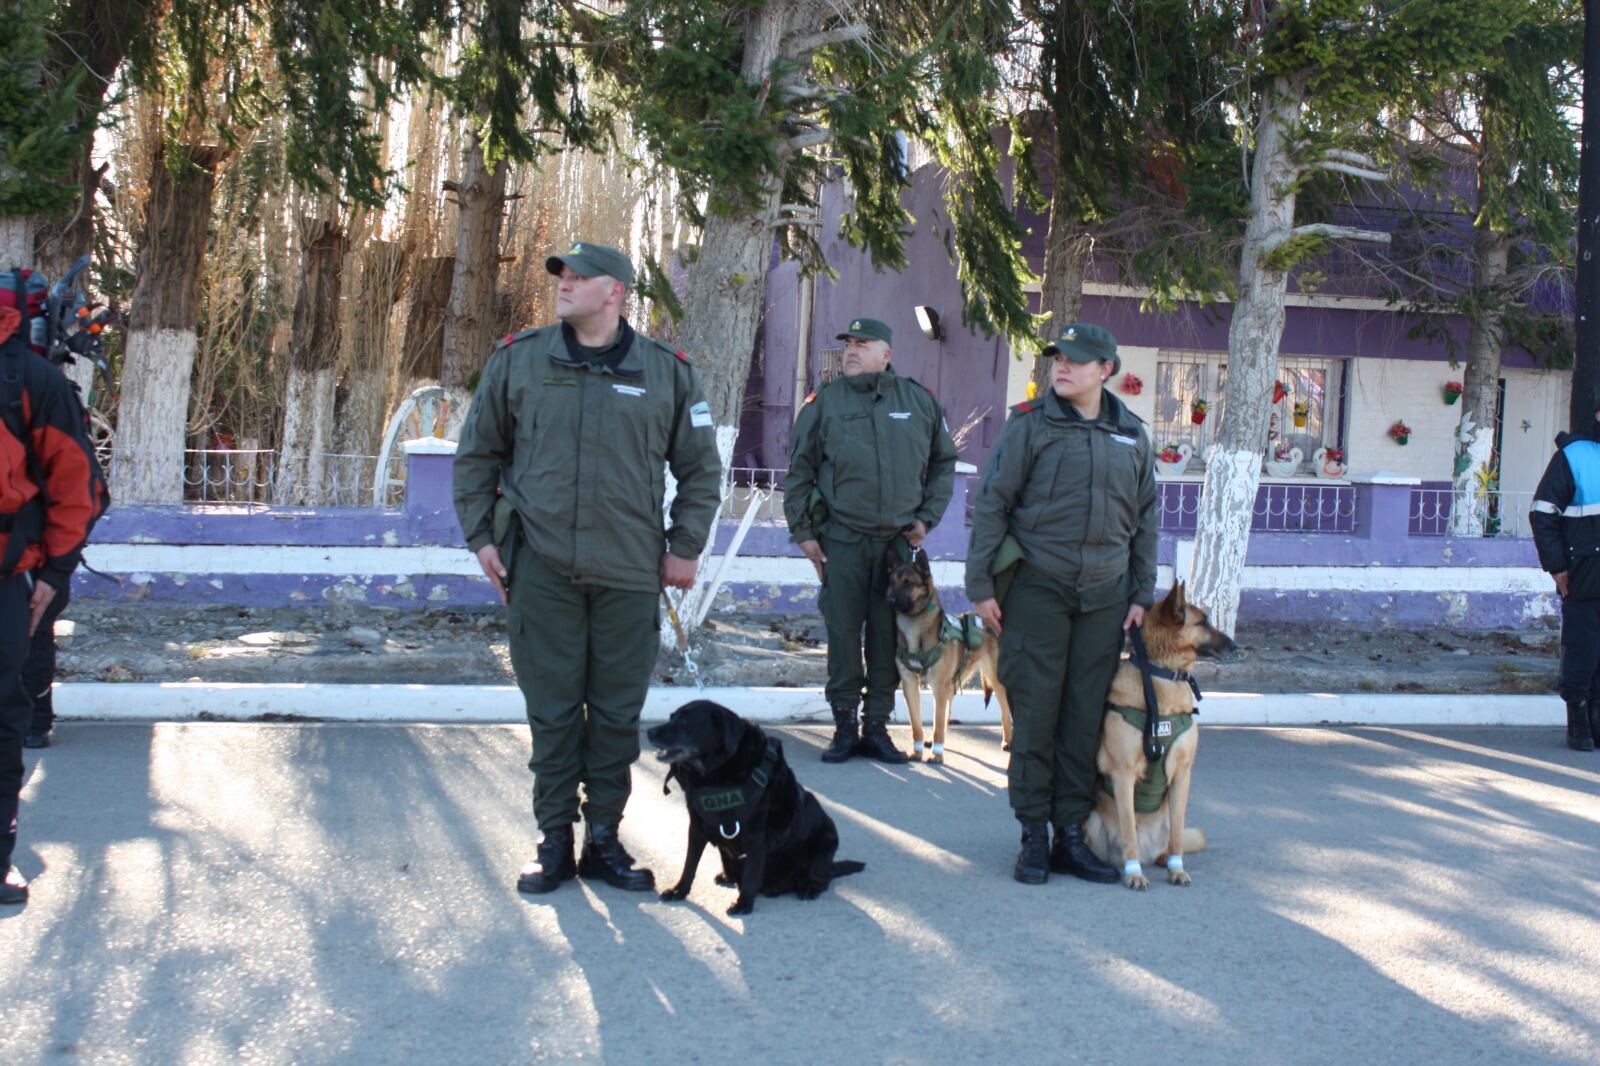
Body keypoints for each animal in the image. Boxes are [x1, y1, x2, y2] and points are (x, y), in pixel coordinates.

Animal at [646, 697, 864, 915]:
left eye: (684, 722)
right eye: (671, 717)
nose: (649, 732)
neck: (718, 773)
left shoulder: (757, 837)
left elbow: (751, 873)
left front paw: (743, 903)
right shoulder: (697, 828)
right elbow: (689, 864)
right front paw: (679, 890)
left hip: (827, 839)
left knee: (822, 878)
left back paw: (809, 887)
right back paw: (728, 876)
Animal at [883, 544, 1004, 758]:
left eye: (908, 583)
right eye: (892, 582)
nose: (890, 600)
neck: (916, 628)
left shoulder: (939, 686)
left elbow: (938, 722)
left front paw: (936, 755)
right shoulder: (910, 684)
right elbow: (917, 724)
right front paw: (917, 751)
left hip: (995, 679)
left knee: (1007, 712)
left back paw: (1009, 741)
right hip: (955, 681)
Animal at [1088, 582, 1235, 889]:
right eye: (1203, 622)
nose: (1235, 645)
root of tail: (1149, 851)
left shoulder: (1182, 774)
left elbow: (1178, 834)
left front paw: (1177, 869)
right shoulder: (1123, 775)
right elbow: (1129, 831)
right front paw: (1134, 874)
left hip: (1168, 816)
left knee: (1171, 839)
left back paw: (1165, 858)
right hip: (1093, 819)